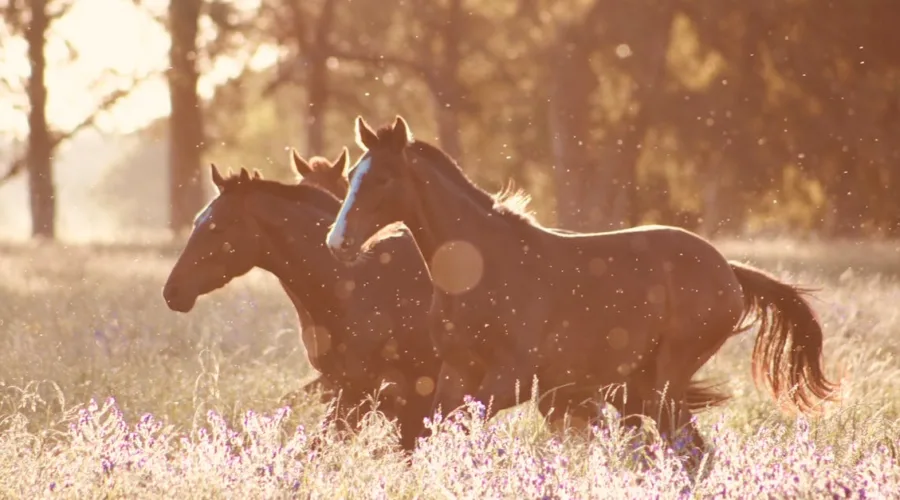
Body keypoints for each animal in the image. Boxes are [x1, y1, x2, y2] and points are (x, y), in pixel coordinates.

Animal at [323, 114, 840, 454]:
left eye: (383, 178)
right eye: (353, 175)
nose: (337, 242)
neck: (482, 269)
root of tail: (729, 271)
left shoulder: (513, 379)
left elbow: (457, 427)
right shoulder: (457, 371)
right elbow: (434, 429)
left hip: (665, 380)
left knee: (687, 449)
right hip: (638, 387)